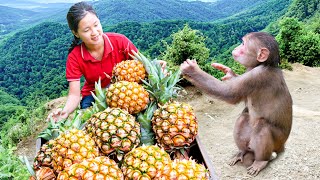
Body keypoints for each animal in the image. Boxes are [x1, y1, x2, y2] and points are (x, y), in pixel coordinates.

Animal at [180, 31, 292, 176]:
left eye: (244, 44)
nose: (237, 47)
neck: (264, 65)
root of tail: (282, 146)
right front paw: (230, 74)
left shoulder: (257, 76)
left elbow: (229, 93)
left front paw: (192, 70)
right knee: (243, 118)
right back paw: (241, 152)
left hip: (277, 143)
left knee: (262, 126)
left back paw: (261, 161)